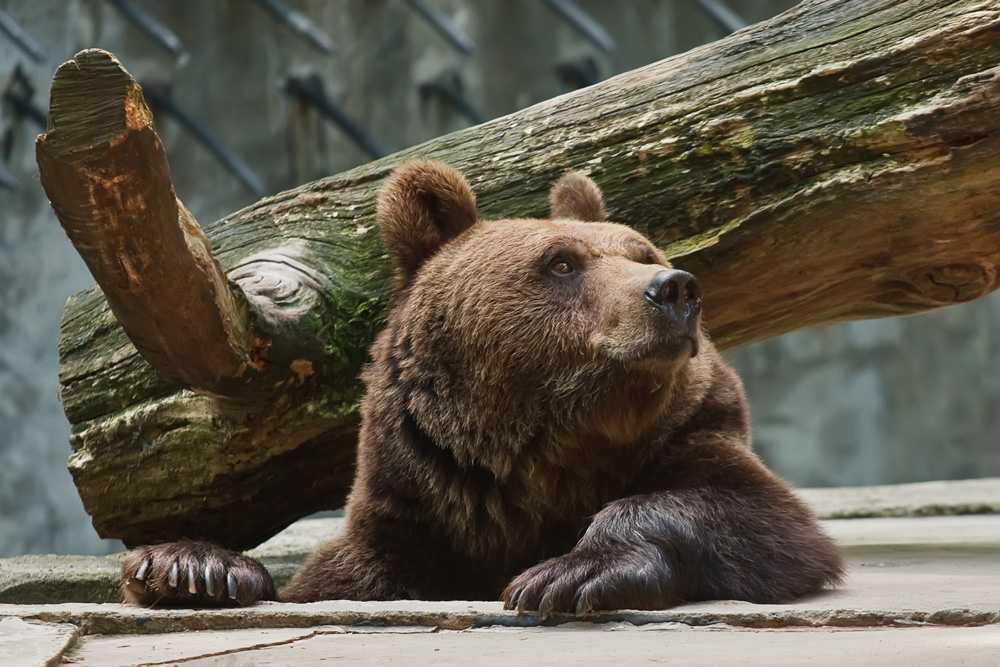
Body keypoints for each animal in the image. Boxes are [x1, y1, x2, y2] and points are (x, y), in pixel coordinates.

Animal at [123, 158, 844, 616]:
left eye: (645, 253)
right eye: (562, 262)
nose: (674, 290)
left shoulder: (691, 435)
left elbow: (755, 516)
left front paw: (567, 574)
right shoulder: (421, 502)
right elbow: (329, 580)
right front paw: (190, 567)